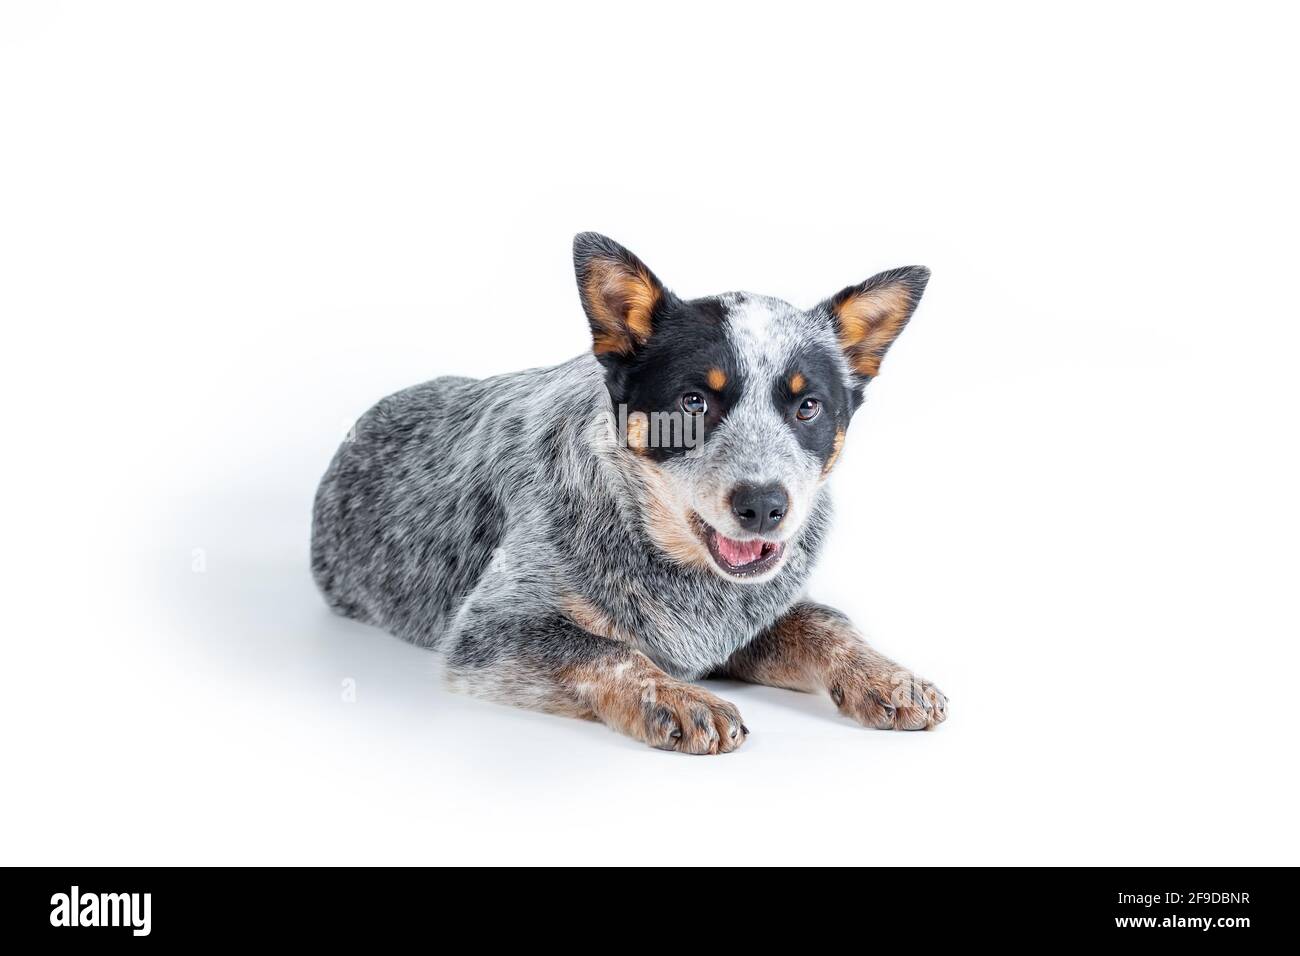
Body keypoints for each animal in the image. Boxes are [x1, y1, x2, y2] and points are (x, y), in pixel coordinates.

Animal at [312, 234, 946, 754]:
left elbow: (823, 622)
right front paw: (679, 699)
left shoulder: (743, 620)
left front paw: (887, 676)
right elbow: (606, 650)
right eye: (693, 401)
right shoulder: (488, 633)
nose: (765, 506)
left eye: (807, 406)